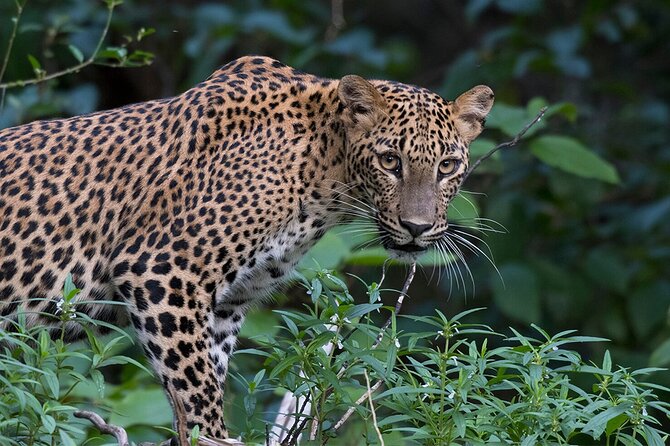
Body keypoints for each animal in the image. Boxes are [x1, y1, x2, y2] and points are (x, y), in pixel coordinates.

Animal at [0, 55, 493, 441]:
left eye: (447, 166)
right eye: (390, 161)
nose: (416, 227)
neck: (325, 170)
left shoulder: (225, 305)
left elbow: (204, 385)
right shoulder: (161, 272)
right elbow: (197, 395)